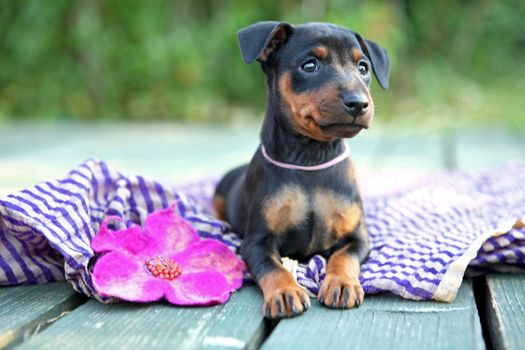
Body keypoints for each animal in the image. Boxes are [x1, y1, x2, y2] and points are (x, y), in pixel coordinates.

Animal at [213, 20, 388, 318]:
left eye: (363, 67)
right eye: (310, 66)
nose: (359, 103)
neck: (310, 159)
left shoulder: (358, 238)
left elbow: (343, 257)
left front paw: (341, 283)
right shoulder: (255, 243)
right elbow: (273, 267)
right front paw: (285, 292)